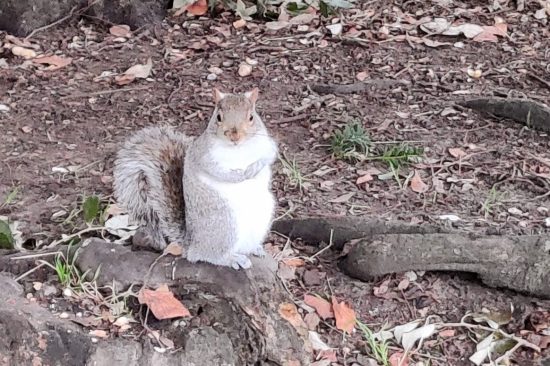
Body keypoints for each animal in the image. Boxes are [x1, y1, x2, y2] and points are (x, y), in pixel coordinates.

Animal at [112, 86, 278, 268]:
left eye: (251, 117)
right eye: (218, 117)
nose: (234, 136)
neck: (239, 149)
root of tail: (191, 244)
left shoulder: (268, 145)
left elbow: (270, 155)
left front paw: (257, 166)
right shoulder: (203, 156)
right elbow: (219, 172)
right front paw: (242, 175)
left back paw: (255, 249)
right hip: (225, 224)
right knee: (208, 255)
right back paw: (232, 258)